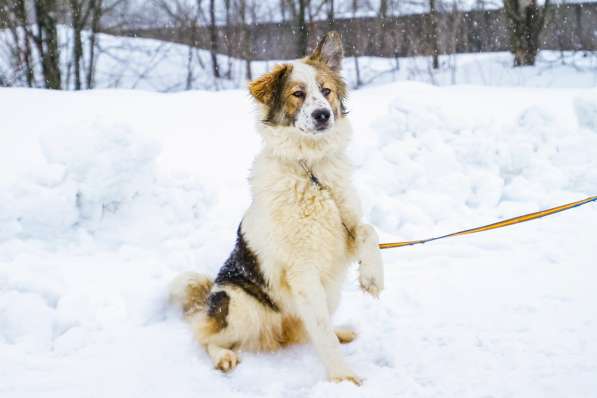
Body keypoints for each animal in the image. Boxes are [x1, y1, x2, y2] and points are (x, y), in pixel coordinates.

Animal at [169, 31, 382, 386]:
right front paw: (342, 378)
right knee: (206, 336)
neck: (311, 170)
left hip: (329, 294)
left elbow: (369, 230)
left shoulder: (343, 236)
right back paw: (223, 356)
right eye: (298, 94)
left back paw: (341, 331)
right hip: (240, 306)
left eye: (326, 91)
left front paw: (372, 277)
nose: (323, 114)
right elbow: (320, 332)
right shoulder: (303, 269)